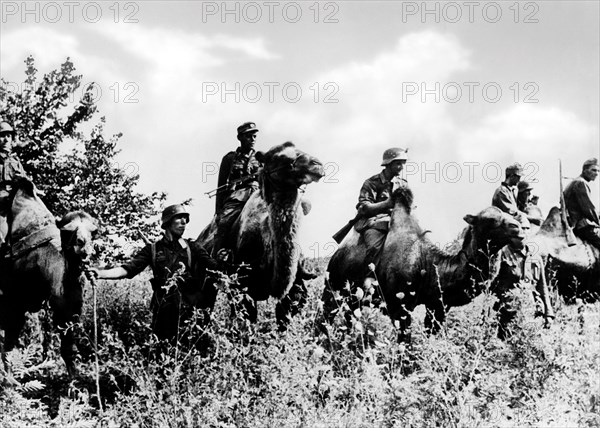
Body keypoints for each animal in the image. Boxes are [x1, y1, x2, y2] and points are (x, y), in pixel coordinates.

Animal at [0, 177, 96, 378]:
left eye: (94, 231)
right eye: (67, 231)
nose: (83, 246)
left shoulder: (67, 302)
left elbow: (68, 343)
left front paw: (75, 380)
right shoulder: (13, 300)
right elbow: (9, 342)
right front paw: (9, 380)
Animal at [198, 142, 324, 330]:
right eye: (279, 157)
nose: (317, 164)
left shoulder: (296, 285)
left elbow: (285, 317)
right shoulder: (242, 286)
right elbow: (246, 320)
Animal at [322, 187, 524, 342]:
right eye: (490, 220)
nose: (519, 229)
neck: (428, 264)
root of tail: (337, 253)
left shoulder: (437, 307)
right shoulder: (399, 308)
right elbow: (405, 343)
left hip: (352, 297)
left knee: (349, 317)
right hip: (333, 284)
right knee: (326, 314)